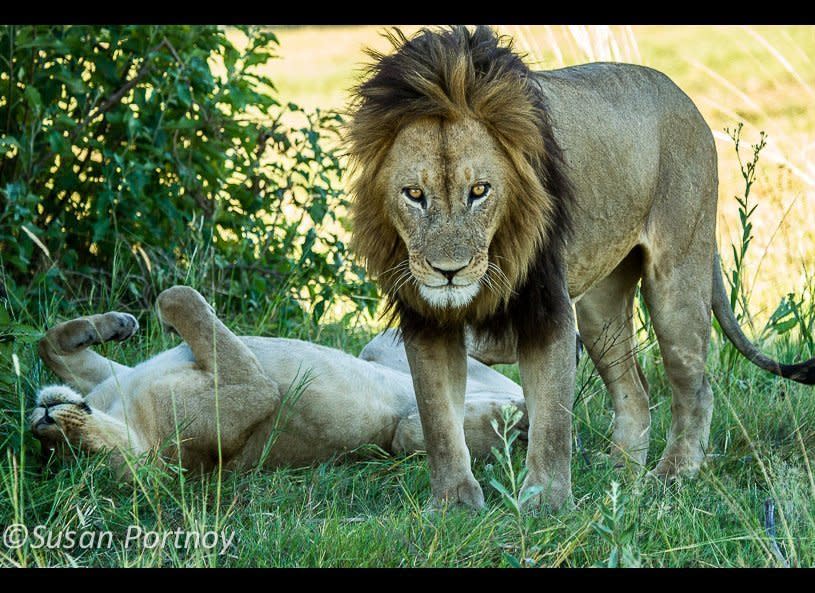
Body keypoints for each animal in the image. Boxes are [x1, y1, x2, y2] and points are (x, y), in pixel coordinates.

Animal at [31, 284, 524, 474]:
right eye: (74, 452)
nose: (43, 421)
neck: (123, 416)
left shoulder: (118, 377)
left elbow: (47, 343)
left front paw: (115, 325)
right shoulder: (254, 392)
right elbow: (176, 296)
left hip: (383, 345)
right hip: (408, 431)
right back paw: (518, 412)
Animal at [346, 25, 815, 512]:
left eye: (479, 191)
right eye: (414, 195)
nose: (448, 272)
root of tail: (685, 99)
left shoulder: (548, 310)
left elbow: (553, 419)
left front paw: (547, 504)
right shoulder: (427, 320)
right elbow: (437, 418)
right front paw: (453, 503)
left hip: (678, 280)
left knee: (695, 386)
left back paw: (672, 474)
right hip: (599, 308)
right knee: (635, 391)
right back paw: (621, 473)